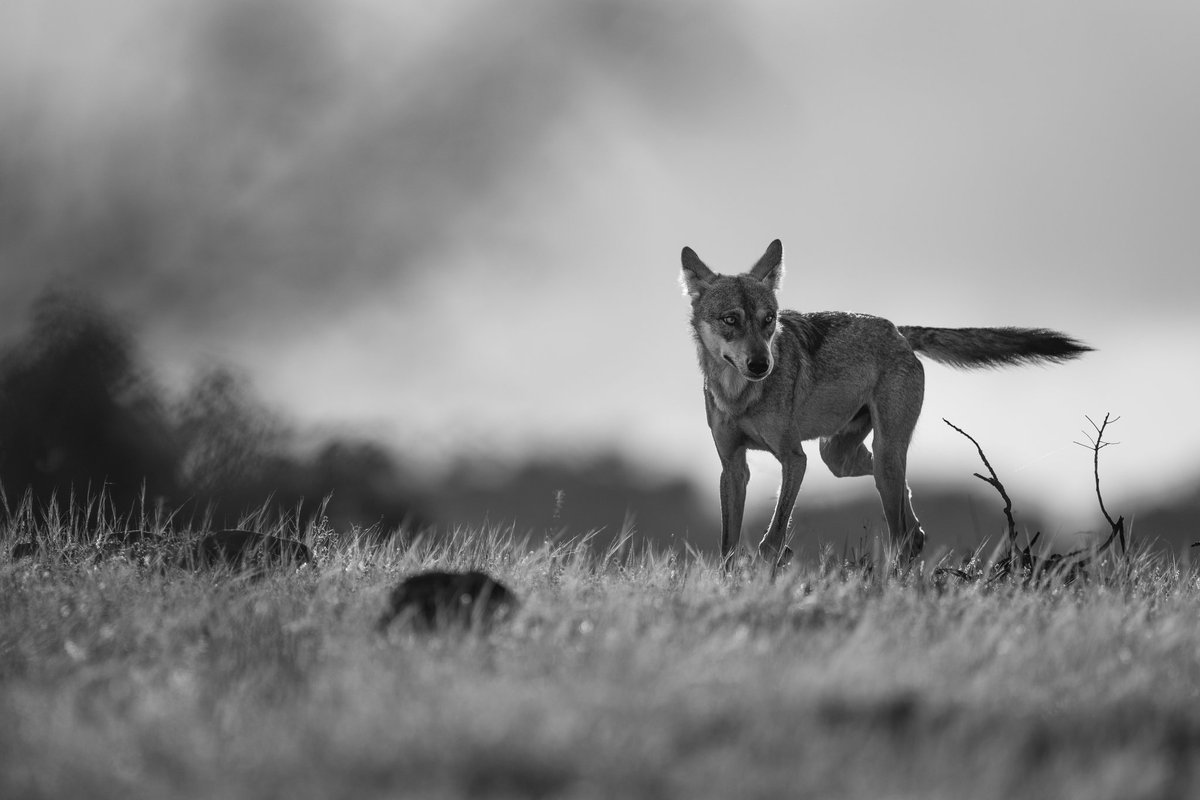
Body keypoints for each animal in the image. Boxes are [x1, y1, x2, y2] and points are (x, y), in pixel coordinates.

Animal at [680, 239, 1091, 568]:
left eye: (769, 320)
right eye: (730, 320)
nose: (761, 364)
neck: (739, 396)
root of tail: (898, 330)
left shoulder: (795, 459)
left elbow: (774, 535)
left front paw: (766, 568)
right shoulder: (733, 468)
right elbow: (728, 544)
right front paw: (728, 584)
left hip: (878, 454)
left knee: (900, 532)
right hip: (842, 458)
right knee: (907, 513)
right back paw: (914, 542)